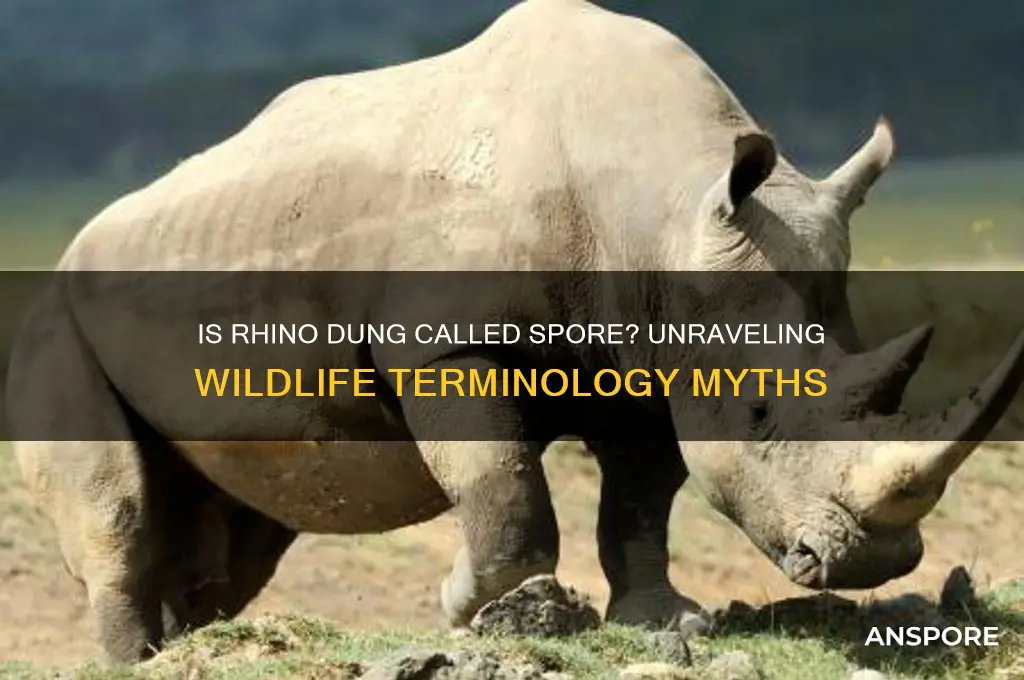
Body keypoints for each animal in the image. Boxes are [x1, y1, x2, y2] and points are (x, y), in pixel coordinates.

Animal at [7, 0, 1024, 665]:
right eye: (763, 416)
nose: (872, 564)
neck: (667, 204)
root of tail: (81, 242)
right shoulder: (446, 346)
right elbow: (507, 495)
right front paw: (464, 607)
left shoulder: (651, 353)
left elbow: (642, 504)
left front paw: (667, 623)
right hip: (55, 324)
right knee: (121, 508)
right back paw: (138, 661)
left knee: (238, 526)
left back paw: (199, 638)